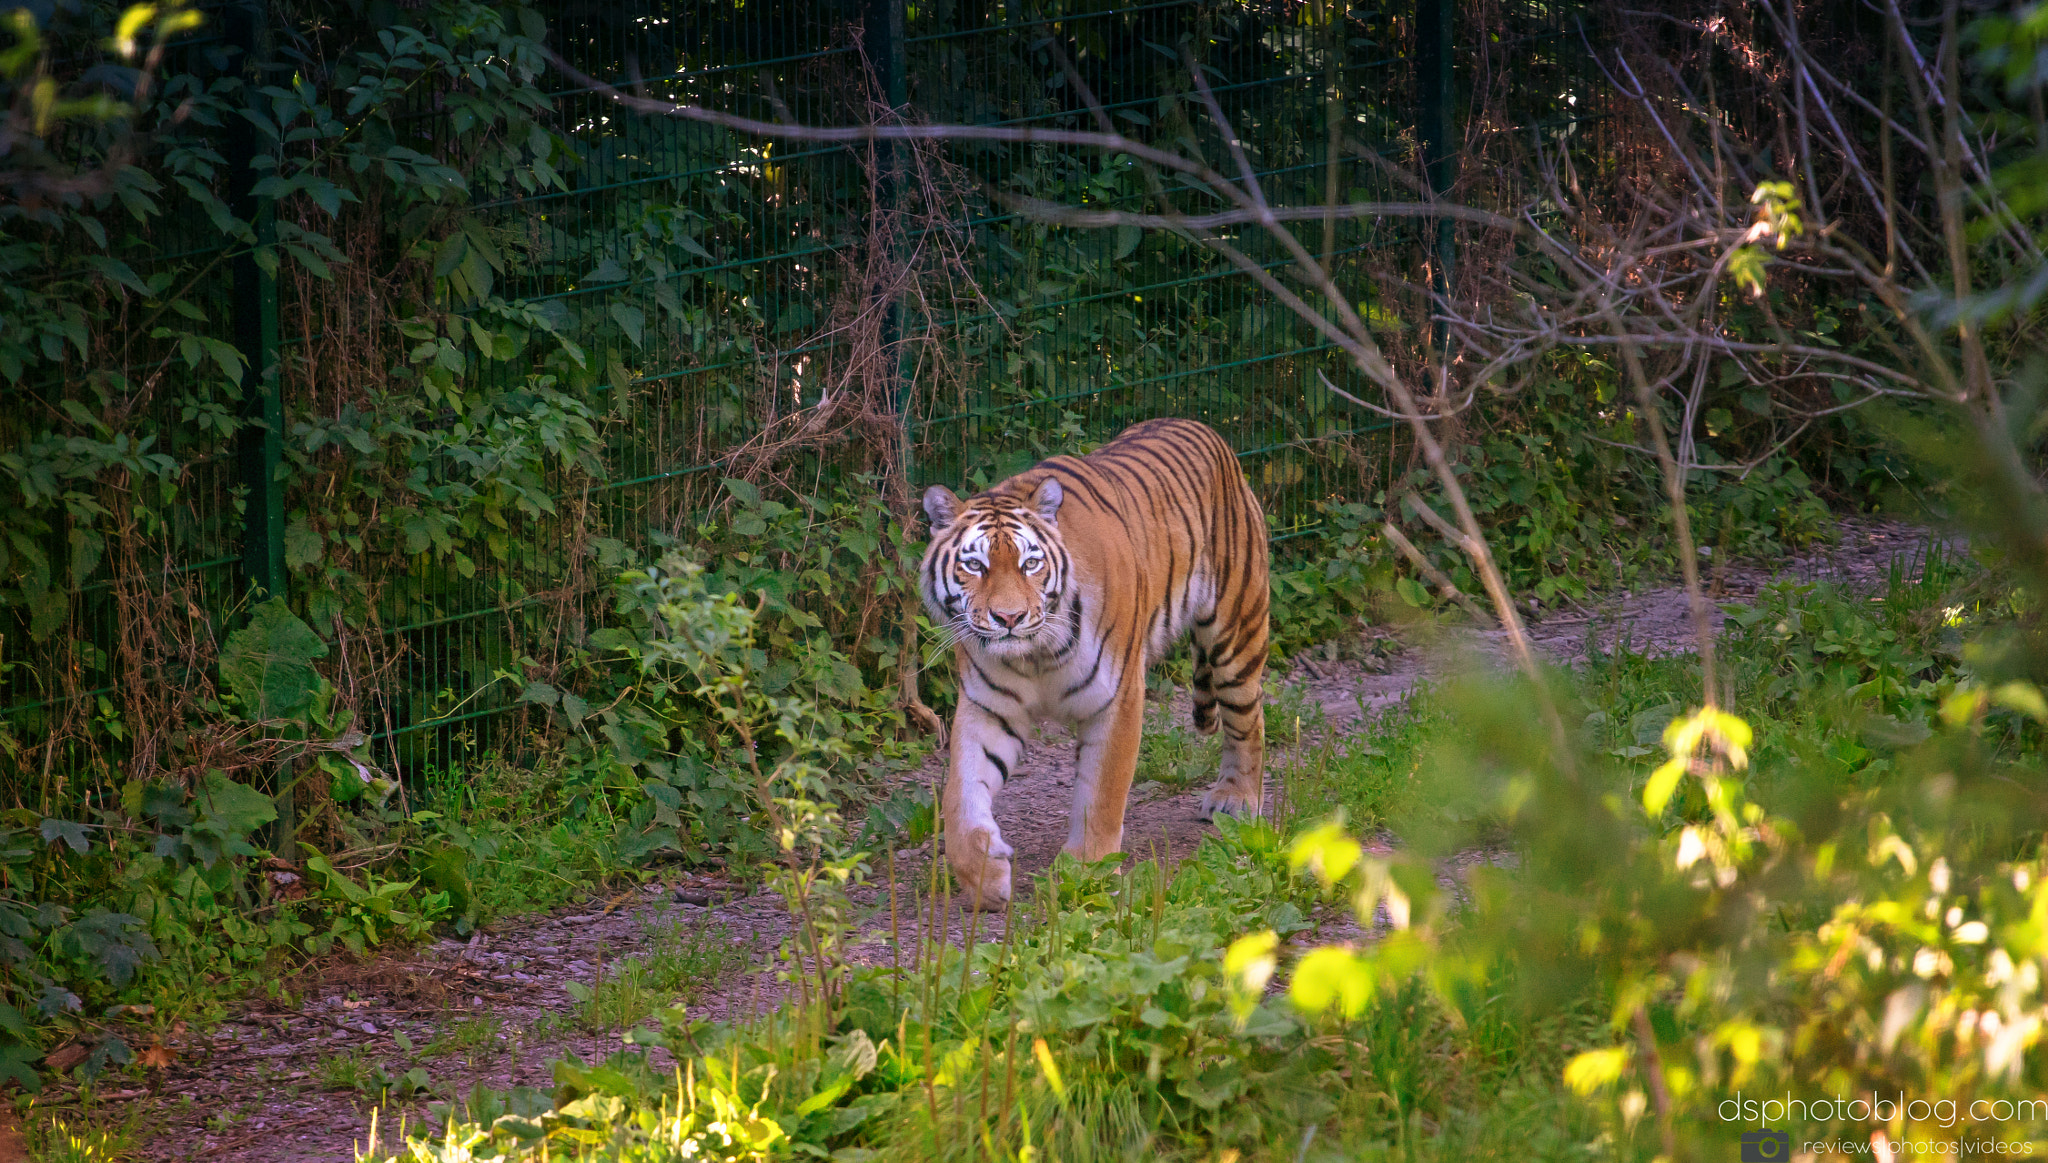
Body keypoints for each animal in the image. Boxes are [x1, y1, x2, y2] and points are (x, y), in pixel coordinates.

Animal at [921, 415, 1269, 909]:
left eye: (1030, 564)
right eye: (975, 566)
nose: (1009, 618)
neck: (1034, 656)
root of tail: (1202, 427)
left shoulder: (1118, 697)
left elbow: (1103, 793)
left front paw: (1085, 872)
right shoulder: (989, 708)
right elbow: (960, 798)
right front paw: (985, 876)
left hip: (1236, 633)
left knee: (1249, 720)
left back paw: (1237, 800)